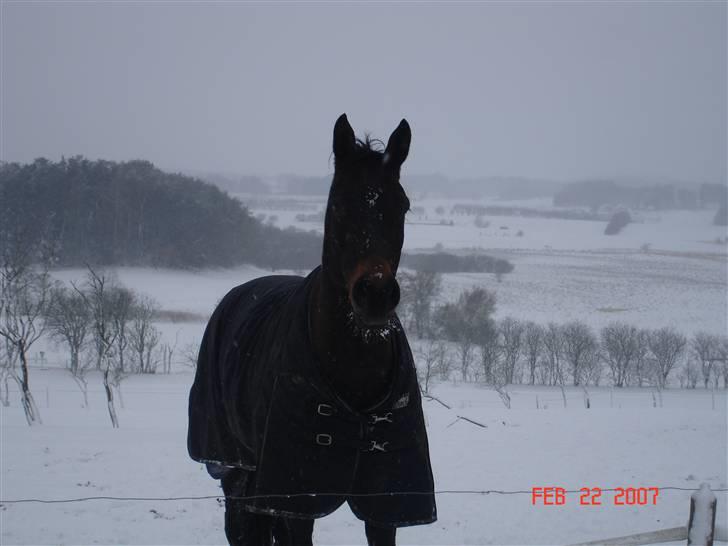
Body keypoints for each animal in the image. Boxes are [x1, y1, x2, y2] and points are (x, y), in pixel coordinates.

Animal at [191, 115, 436, 544]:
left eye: (402, 205)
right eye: (337, 204)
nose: (375, 295)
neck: (355, 371)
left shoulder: (385, 502)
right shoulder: (296, 501)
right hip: (237, 472)